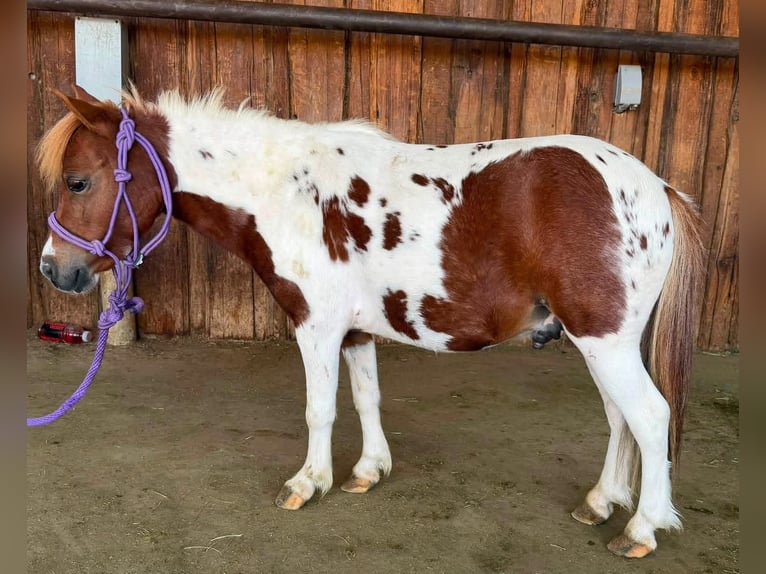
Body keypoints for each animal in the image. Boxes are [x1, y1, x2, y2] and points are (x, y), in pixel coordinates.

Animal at [35, 85, 703, 558]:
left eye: (78, 181)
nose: (53, 268)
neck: (288, 192)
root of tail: (656, 187)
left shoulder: (315, 326)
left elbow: (320, 409)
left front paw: (309, 483)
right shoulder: (354, 331)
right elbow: (366, 399)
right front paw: (367, 471)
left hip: (604, 341)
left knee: (648, 416)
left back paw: (642, 528)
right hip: (602, 343)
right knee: (621, 419)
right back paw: (602, 502)